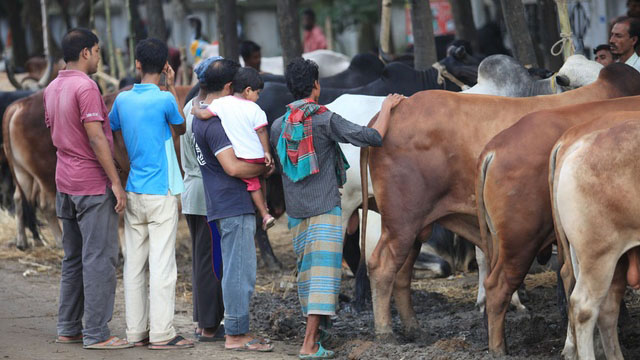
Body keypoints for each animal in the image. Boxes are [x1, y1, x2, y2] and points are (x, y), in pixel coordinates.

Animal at [2, 86, 192, 249]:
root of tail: (20, 105)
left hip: (24, 174)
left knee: (21, 199)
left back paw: (25, 241)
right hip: (46, 176)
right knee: (46, 206)